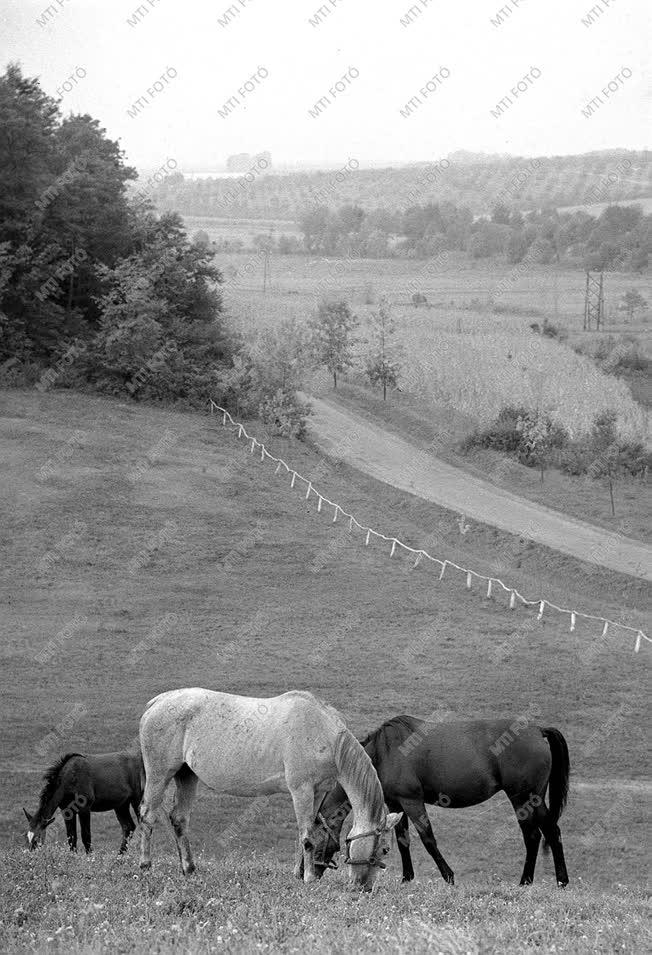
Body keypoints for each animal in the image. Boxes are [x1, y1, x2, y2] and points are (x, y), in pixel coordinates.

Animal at [140, 692, 400, 892]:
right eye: (385, 849)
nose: (364, 887)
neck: (324, 734)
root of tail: (157, 702)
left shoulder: (316, 793)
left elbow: (306, 833)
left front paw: (299, 874)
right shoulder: (301, 790)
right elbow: (307, 838)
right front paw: (309, 878)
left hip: (186, 776)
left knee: (179, 819)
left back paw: (190, 869)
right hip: (159, 775)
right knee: (147, 815)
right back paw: (145, 866)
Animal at [308, 716, 568, 888]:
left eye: (308, 844)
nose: (310, 875)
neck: (385, 753)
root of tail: (538, 730)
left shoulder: (412, 801)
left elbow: (427, 839)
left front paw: (448, 876)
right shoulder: (396, 804)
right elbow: (402, 841)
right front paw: (407, 878)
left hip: (524, 798)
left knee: (543, 833)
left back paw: (550, 881)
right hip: (531, 799)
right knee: (540, 833)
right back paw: (536, 881)